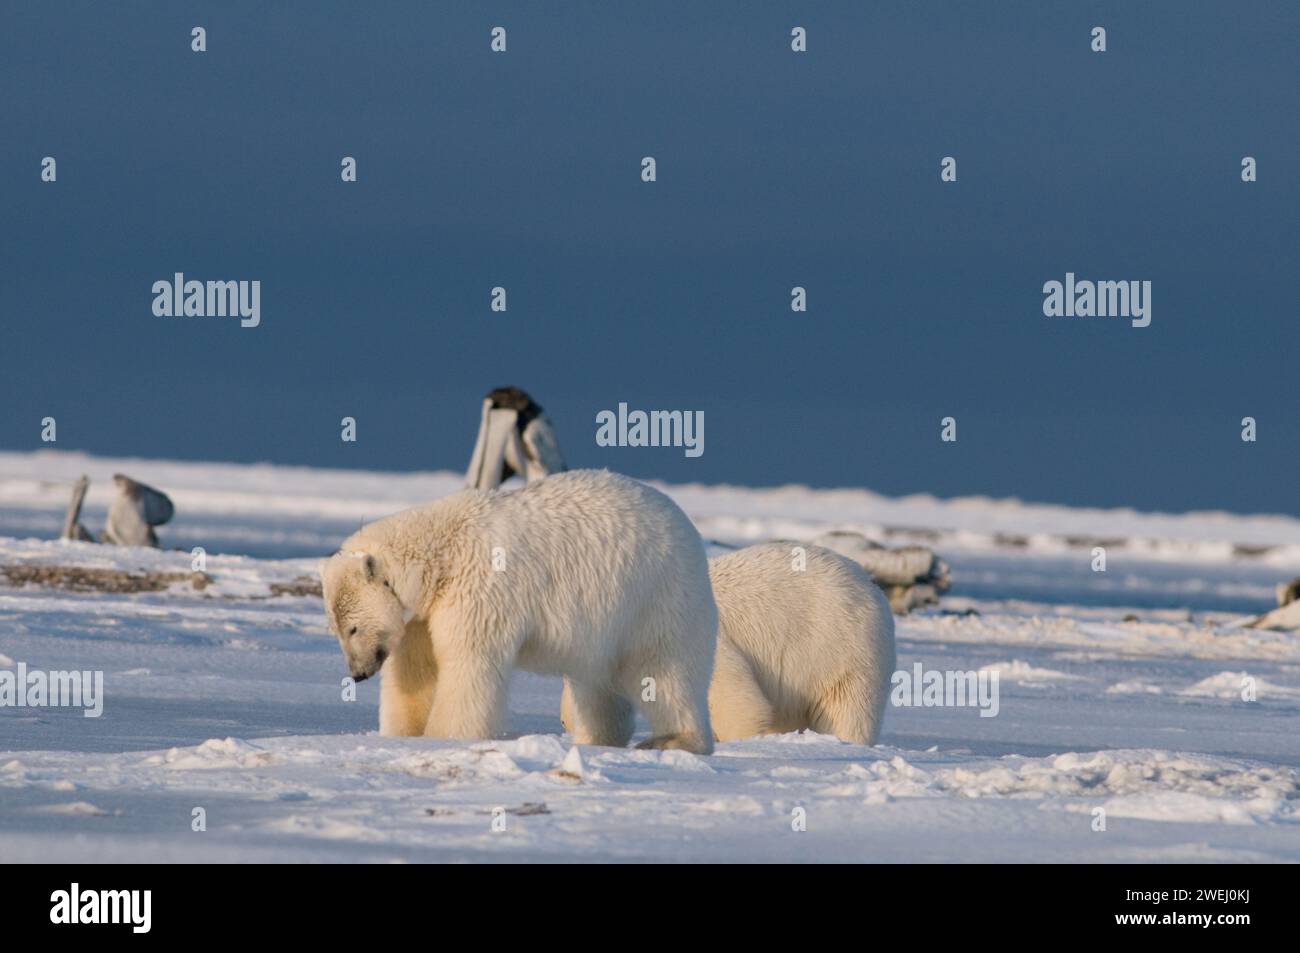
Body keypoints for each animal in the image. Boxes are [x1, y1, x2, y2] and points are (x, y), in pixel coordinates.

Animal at [318, 465, 717, 748]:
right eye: (336, 630)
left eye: (352, 627)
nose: (357, 673)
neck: (443, 551)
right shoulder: (423, 613)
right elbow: (416, 669)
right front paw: (404, 734)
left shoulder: (479, 587)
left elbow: (468, 662)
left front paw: (444, 736)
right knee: (595, 683)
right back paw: (594, 739)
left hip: (656, 597)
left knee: (664, 672)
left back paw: (674, 740)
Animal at [559, 543, 894, 743]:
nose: (563, 723)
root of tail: (874, 589)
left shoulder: (700, 640)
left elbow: (736, 702)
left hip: (843, 650)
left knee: (846, 712)